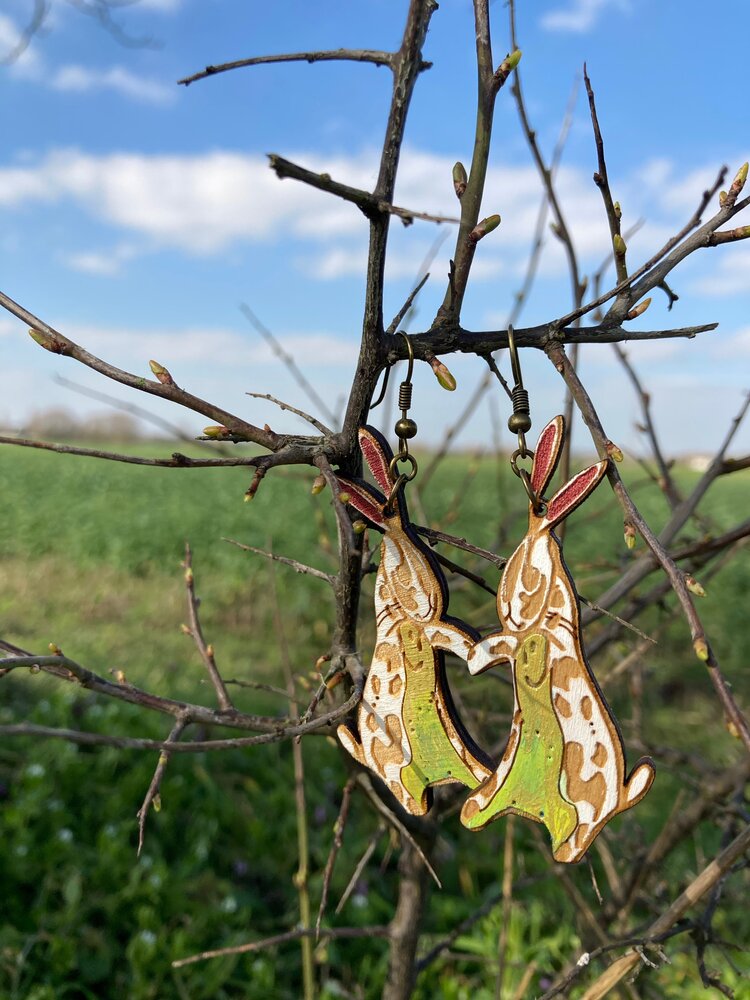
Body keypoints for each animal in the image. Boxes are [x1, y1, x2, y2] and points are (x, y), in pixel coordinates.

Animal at [336, 426, 492, 815]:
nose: (429, 596)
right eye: (402, 562)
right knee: (410, 799)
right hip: (397, 769)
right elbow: (459, 642)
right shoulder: (427, 629)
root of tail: (363, 756)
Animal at [462, 415, 655, 862]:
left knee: (580, 832)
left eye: (528, 577)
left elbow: (501, 647)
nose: (511, 609)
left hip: (586, 806)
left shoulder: (532, 644)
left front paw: (475, 651)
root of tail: (623, 796)